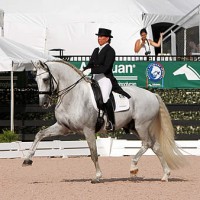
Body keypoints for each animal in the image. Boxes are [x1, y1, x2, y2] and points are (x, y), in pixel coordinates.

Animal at [23, 59, 186, 183]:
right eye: (36, 80)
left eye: (45, 79)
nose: (43, 103)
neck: (73, 95)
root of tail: (152, 95)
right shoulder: (63, 127)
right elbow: (40, 134)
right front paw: (27, 159)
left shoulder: (88, 130)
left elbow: (93, 152)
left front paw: (97, 177)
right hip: (135, 127)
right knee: (155, 146)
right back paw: (165, 175)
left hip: (142, 126)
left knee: (146, 144)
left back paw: (133, 167)